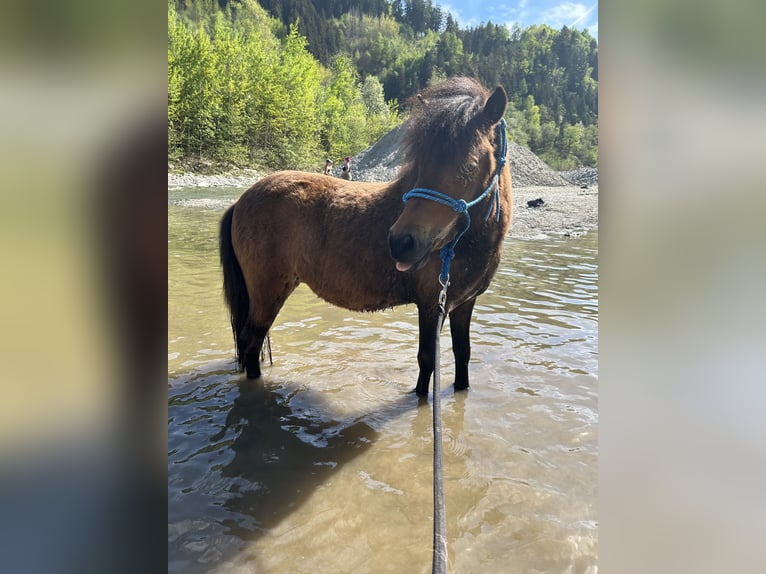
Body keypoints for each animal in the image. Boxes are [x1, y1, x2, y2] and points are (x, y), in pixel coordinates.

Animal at [219, 76, 512, 398]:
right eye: (419, 162)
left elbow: (462, 354)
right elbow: (426, 362)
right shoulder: (431, 306)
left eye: (470, 166)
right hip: (267, 293)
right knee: (251, 342)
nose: (400, 243)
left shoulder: (463, 305)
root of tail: (240, 201)